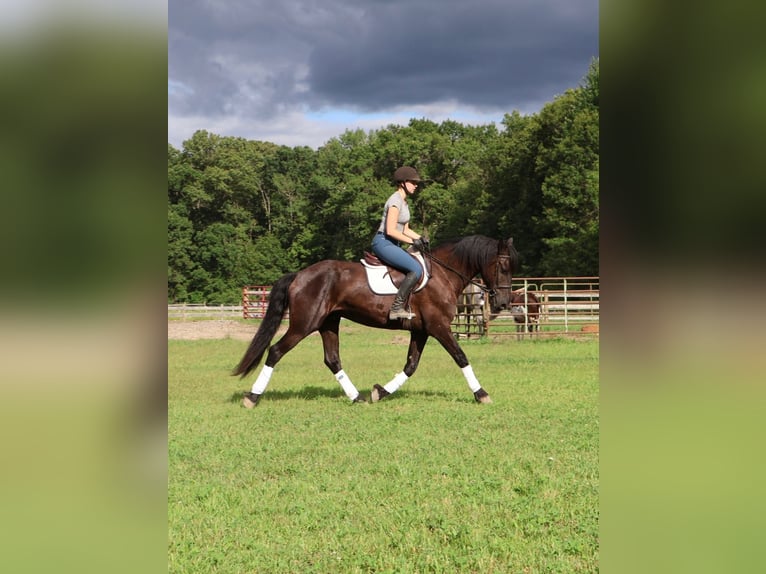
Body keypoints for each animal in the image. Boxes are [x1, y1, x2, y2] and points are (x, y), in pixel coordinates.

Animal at [233, 235, 519, 407]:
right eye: (503, 267)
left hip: (328, 323)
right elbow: (461, 357)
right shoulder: (438, 327)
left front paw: (379, 392)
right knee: (275, 351)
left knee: (332, 359)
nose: (503, 303)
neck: (443, 274)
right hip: (305, 324)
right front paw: (481, 394)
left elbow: (410, 366)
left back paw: (357, 397)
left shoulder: (422, 330)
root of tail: (300, 275)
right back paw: (252, 397)